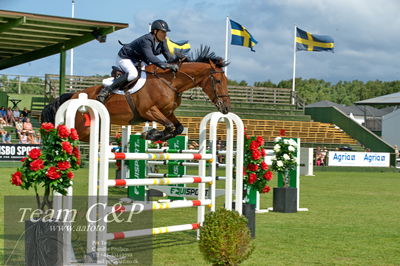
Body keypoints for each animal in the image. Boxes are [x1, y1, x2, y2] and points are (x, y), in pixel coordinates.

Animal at [40, 46, 231, 141]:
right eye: (218, 81)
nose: (226, 108)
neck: (169, 82)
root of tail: (73, 95)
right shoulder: (149, 111)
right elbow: (169, 126)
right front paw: (151, 134)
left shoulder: (168, 112)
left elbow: (177, 128)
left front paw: (153, 135)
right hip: (81, 128)